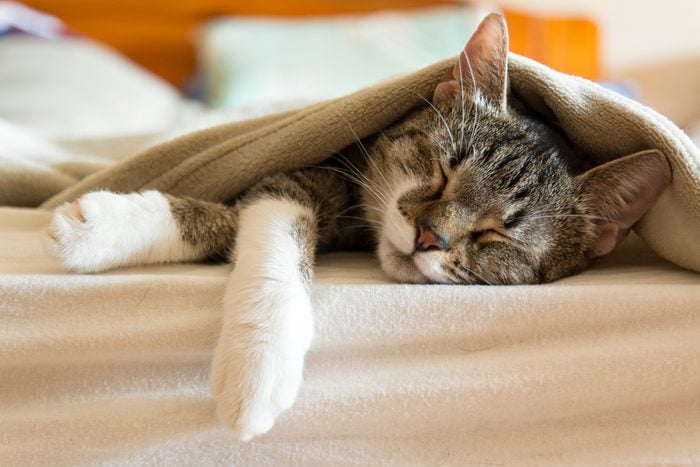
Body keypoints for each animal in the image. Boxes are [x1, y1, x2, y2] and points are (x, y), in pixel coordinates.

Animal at [46, 12, 668, 440]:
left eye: (497, 234)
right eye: (443, 170)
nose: (429, 237)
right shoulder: (303, 172)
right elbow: (265, 217)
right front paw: (103, 227)